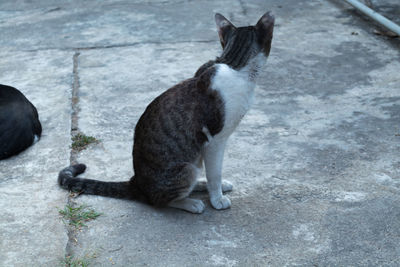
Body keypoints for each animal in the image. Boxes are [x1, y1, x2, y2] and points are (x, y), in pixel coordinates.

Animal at [58, 12, 276, 215]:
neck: (235, 66)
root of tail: (137, 183)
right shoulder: (215, 140)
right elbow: (215, 173)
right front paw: (217, 199)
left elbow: (214, 172)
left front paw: (216, 189)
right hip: (186, 167)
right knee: (160, 200)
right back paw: (191, 203)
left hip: (194, 159)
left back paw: (202, 186)